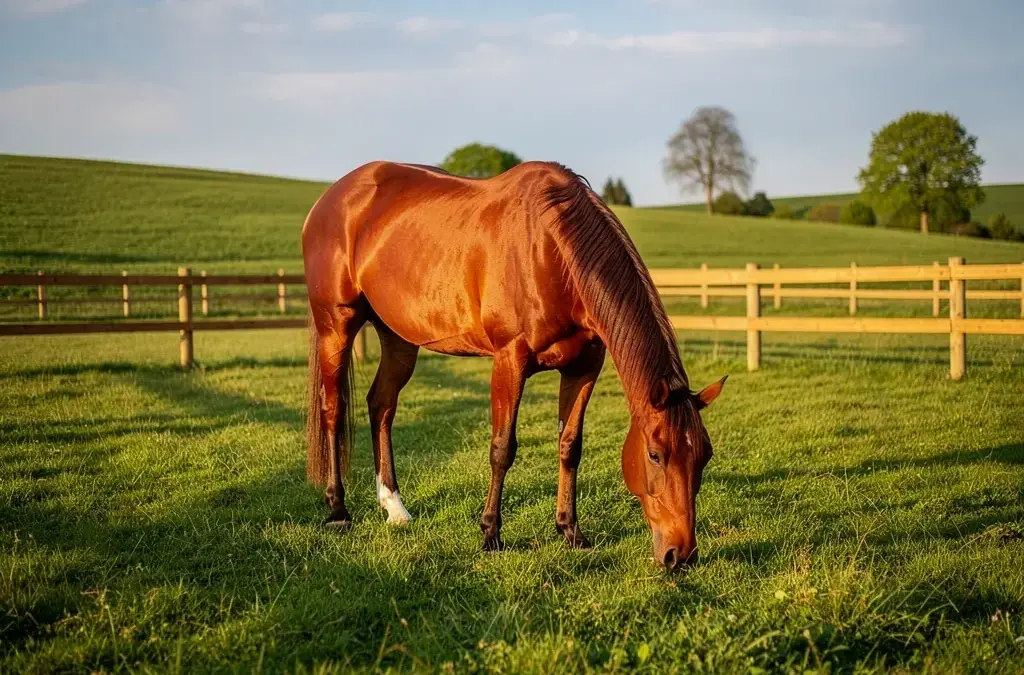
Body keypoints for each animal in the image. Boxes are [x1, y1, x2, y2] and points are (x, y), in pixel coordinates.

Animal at [301, 160, 726, 570]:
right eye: (655, 454)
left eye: (705, 454)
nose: (680, 555)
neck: (550, 249)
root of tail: (328, 200)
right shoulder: (510, 362)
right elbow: (502, 448)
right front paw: (491, 534)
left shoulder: (584, 366)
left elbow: (570, 446)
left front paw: (570, 531)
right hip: (336, 326)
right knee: (333, 408)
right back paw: (338, 509)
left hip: (399, 338)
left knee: (381, 405)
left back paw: (394, 507)